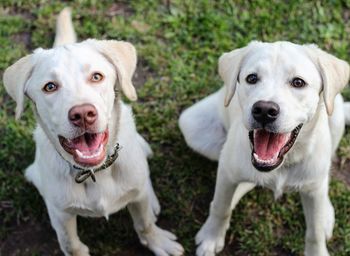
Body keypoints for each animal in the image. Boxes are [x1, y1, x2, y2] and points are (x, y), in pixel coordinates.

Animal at [3, 8, 183, 256]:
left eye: (96, 76)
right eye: (50, 87)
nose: (82, 114)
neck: (95, 172)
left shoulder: (137, 194)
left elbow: (144, 222)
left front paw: (156, 241)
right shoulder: (61, 214)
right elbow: (71, 244)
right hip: (34, 175)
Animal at [179, 41, 350, 255]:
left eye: (298, 82)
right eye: (252, 78)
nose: (264, 110)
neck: (284, 163)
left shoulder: (313, 188)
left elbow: (315, 233)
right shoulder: (226, 172)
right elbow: (221, 206)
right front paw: (212, 236)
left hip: (335, 113)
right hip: (192, 127)